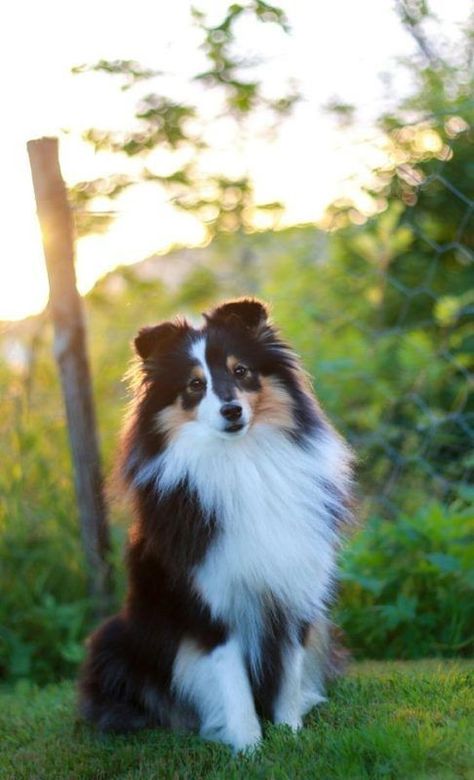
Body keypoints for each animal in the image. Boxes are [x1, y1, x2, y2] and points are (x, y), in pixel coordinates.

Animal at [78, 298, 352, 748]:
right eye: (194, 385)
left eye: (241, 371)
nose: (231, 410)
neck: (242, 461)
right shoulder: (210, 605)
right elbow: (232, 683)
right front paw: (249, 747)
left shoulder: (293, 592)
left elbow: (289, 675)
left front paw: (291, 735)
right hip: (113, 639)